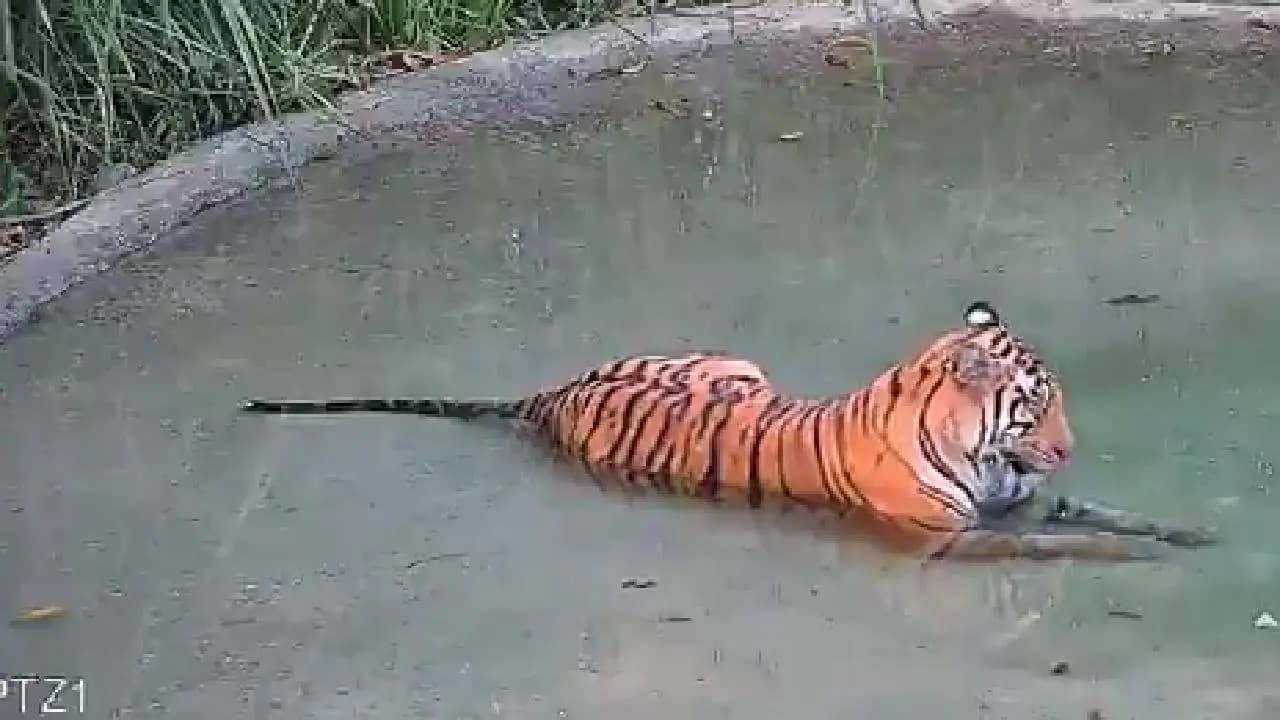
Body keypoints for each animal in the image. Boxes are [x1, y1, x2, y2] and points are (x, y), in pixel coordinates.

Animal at [238, 301, 1216, 561]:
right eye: (1035, 405)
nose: (1069, 445)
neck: (986, 458)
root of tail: (546, 396)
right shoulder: (956, 537)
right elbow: (1055, 543)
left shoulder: (1024, 501)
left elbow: (1104, 513)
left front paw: (1189, 534)